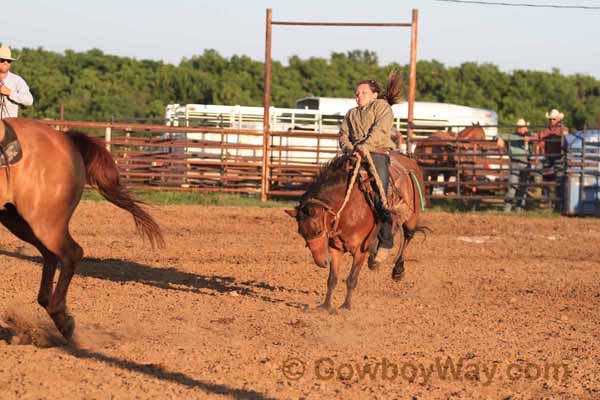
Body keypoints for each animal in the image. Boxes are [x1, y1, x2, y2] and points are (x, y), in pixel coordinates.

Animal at [0, 119, 164, 340]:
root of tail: (65, 138)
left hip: (43, 221)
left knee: (71, 253)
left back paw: (61, 318)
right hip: (18, 219)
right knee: (52, 255)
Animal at [286, 152, 426, 310]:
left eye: (317, 231)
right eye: (301, 233)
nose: (321, 262)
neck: (348, 208)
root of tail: (411, 161)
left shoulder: (360, 250)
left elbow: (351, 279)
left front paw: (345, 306)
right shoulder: (335, 249)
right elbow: (332, 279)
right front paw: (326, 306)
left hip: (411, 219)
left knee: (407, 237)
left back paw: (397, 270)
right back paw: (375, 259)